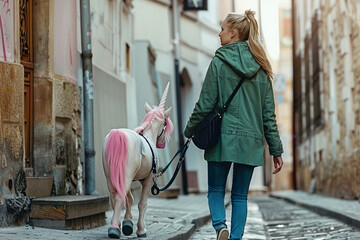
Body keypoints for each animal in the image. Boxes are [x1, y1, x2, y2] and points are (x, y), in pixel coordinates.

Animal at [102, 82, 174, 238]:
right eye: (165, 123)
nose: (162, 143)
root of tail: (117, 134)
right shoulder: (148, 180)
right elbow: (142, 203)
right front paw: (141, 230)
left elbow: (130, 198)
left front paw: (127, 223)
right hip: (126, 175)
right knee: (119, 197)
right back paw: (114, 229)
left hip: (110, 176)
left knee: (114, 196)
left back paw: (116, 226)